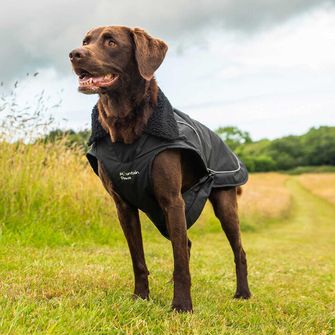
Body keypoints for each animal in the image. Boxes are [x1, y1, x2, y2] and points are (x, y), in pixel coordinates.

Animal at [69, 25, 252, 312]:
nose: (75, 54)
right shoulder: (124, 207)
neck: (126, 132)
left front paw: (182, 305)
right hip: (161, 213)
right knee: (185, 243)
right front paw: (140, 297)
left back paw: (242, 293)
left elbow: (180, 262)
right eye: (86, 42)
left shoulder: (171, 201)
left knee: (237, 250)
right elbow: (139, 259)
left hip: (223, 204)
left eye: (111, 42)